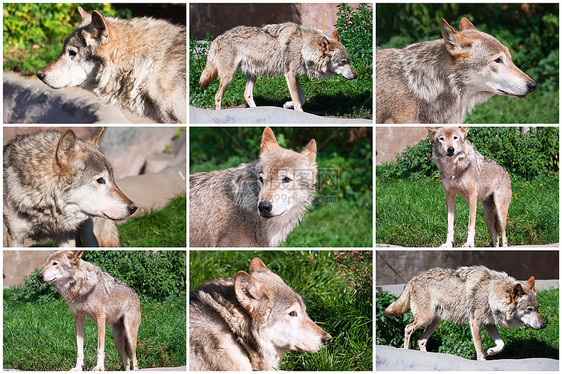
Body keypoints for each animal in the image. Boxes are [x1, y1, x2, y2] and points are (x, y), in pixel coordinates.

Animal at [3, 127, 137, 247]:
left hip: (90, 235)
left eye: (113, 179)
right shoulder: (14, 237)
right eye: (100, 180)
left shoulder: (66, 236)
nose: (133, 208)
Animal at [199, 22, 356, 111]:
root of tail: (216, 39)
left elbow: (302, 99)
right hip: (229, 77)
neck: (304, 47)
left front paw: (287, 105)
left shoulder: (294, 75)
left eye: (348, 60)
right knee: (217, 96)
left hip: (252, 75)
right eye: (343, 62)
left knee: (247, 95)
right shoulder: (290, 74)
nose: (356, 76)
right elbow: (298, 102)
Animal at [382, 264, 544, 360]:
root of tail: (412, 279)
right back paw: (407, 351)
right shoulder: (475, 322)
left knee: (421, 340)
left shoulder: (488, 323)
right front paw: (483, 357)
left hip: (434, 322)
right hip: (426, 319)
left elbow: (501, 345)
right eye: (529, 309)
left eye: (537, 309)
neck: (491, 294)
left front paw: (490, 351)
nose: (543, 326)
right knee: (408, 328)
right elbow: (479, 347)